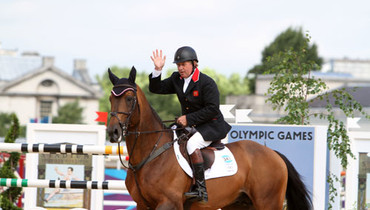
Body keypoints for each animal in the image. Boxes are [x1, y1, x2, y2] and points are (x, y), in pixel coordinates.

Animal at [107, 67, 312, 210]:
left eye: (129, 99)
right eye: (111, 99)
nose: (113, 132)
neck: (152, 154)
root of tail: (274, 154)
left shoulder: (168, 203)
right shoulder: (142, 204)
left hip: (268, 202)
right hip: (240, 204)